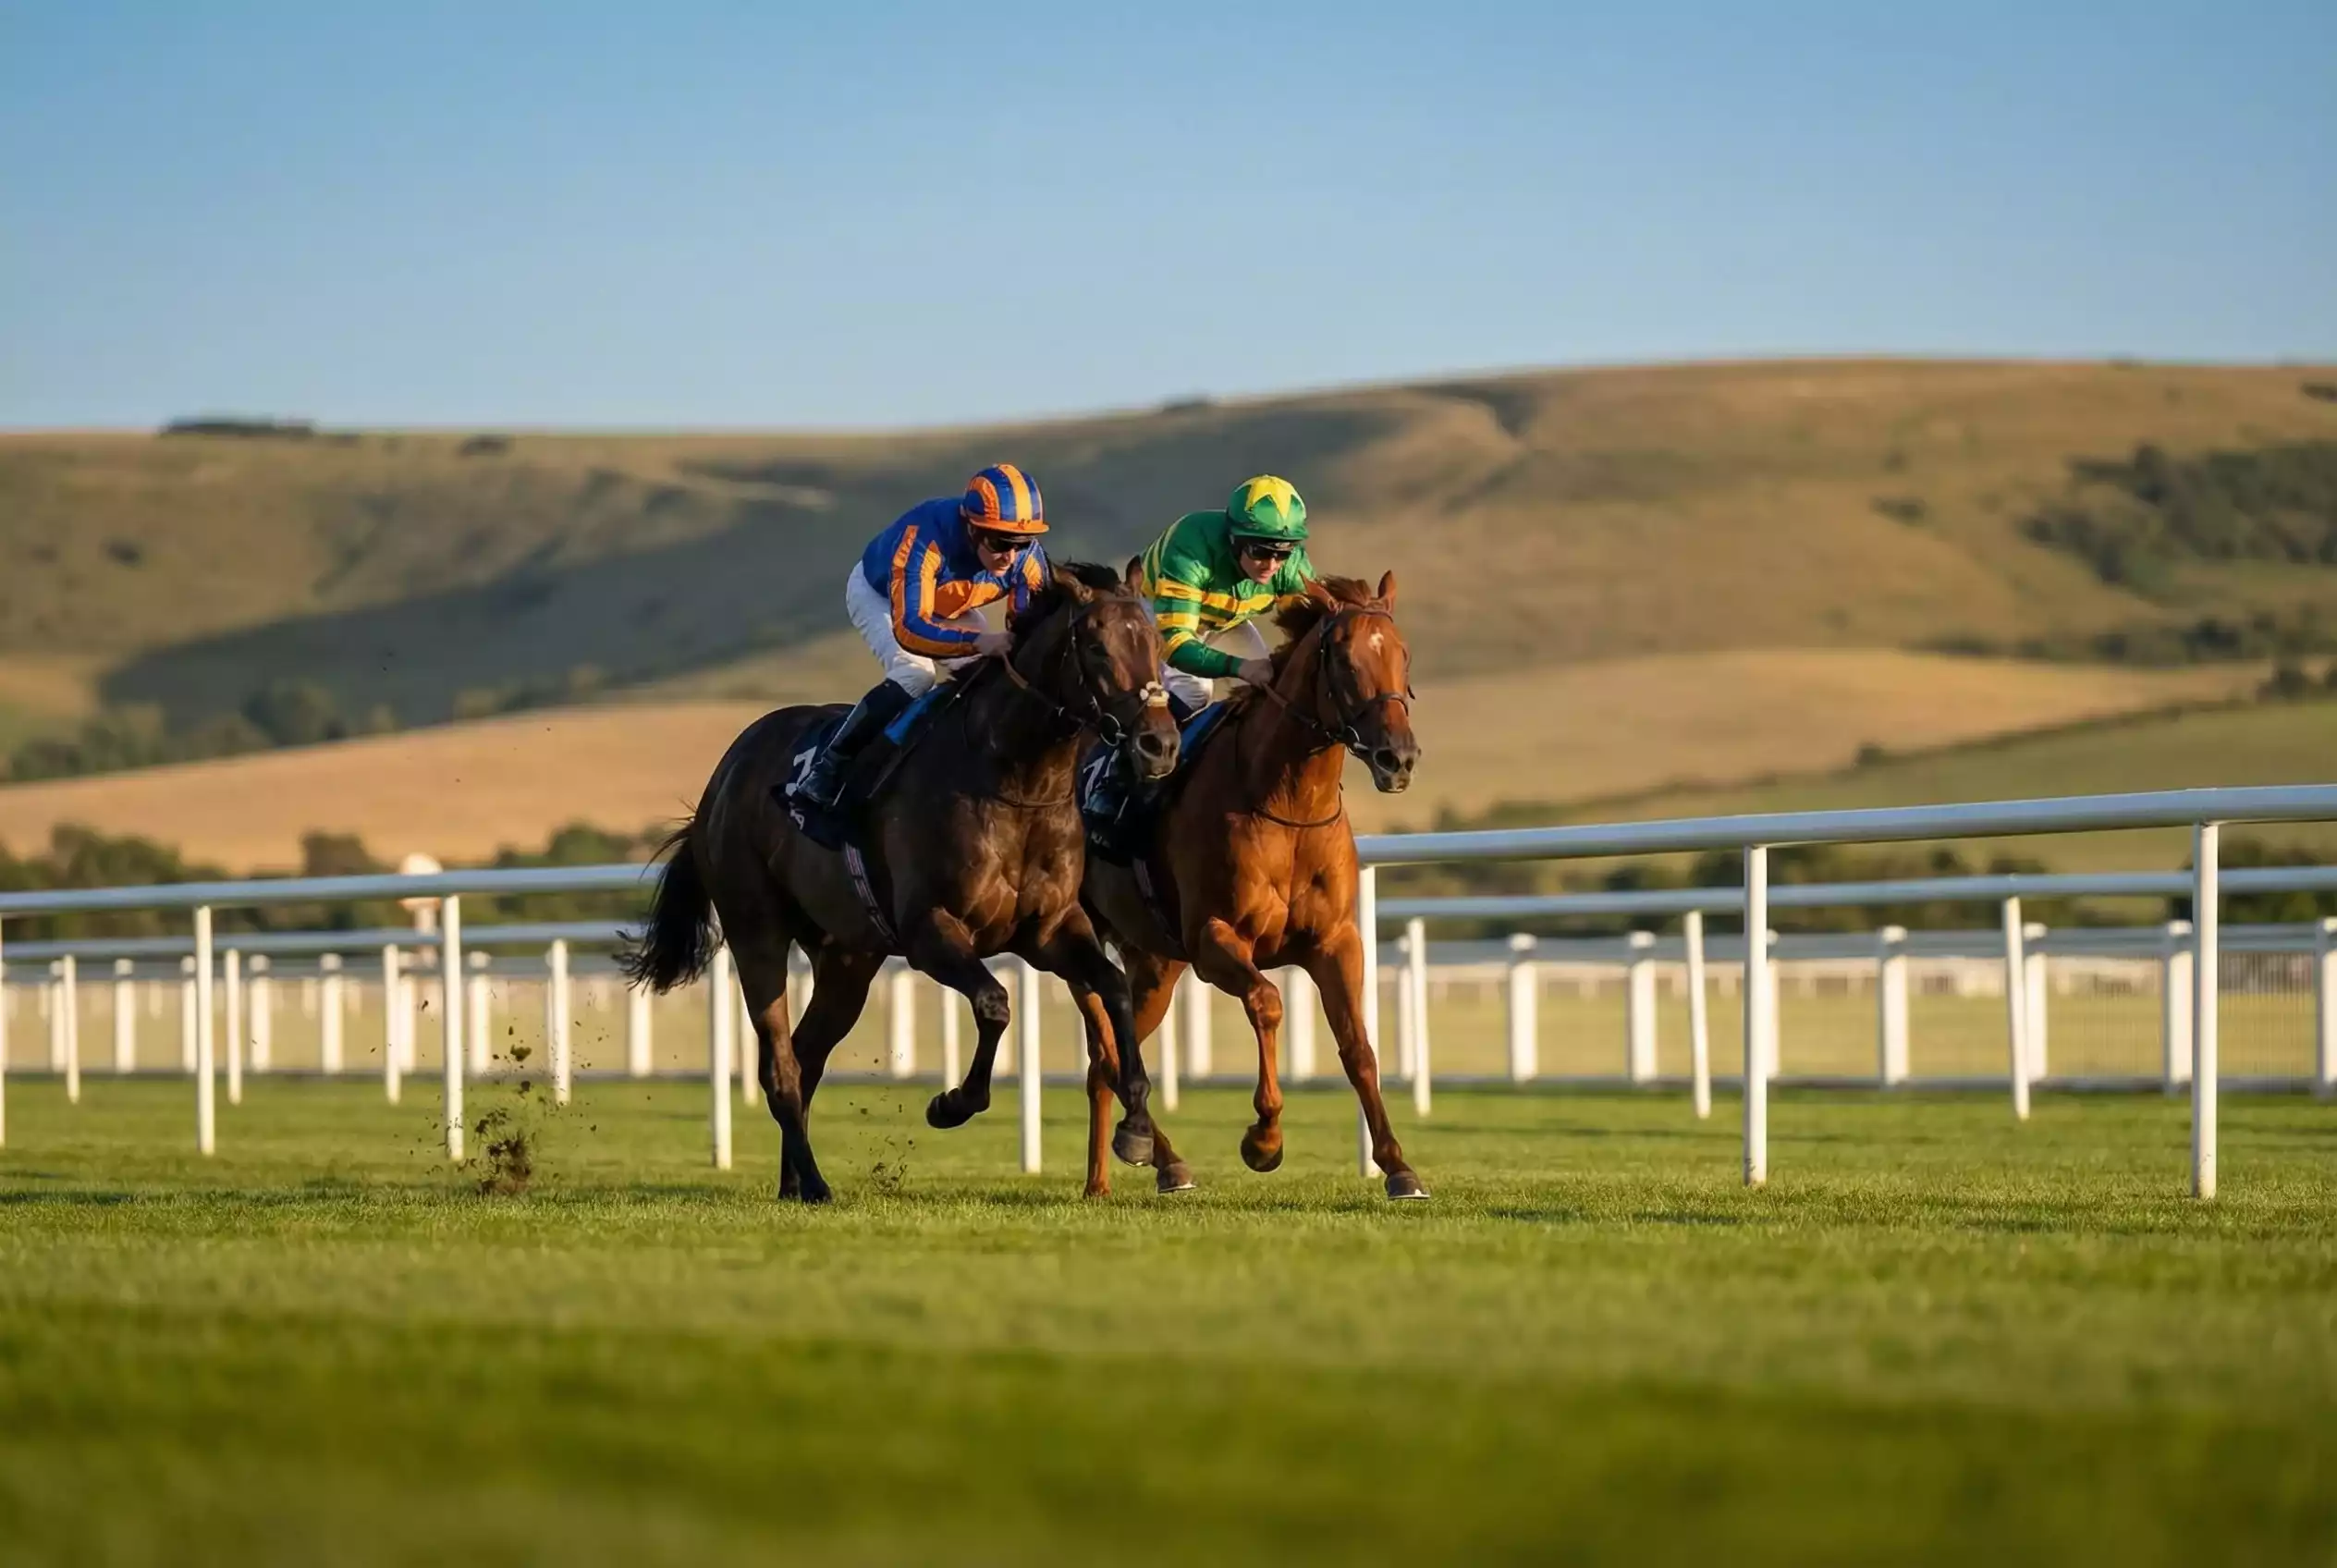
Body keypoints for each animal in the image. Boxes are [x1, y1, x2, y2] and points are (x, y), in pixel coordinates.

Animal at [623, 561, 1181, 1203]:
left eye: (1155, 642)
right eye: (1095, 645)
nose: (1160, 744)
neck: (1016, 782)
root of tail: (724, 774)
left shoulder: (1050, 930)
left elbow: (1114, 990)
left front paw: (1137, 1129)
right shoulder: (929, 931)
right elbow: (995, 1003)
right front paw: (952, 1103)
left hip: (848, 956)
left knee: (808, 1055)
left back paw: (794, 1181)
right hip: (755, 931)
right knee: (781, 1065)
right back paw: (814, 1181)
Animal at [1076, 573, 1428, 1199]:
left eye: (1403, 653)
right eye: (1344, 659)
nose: (1399, 757)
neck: (1288, 804)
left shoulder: (1336, 942)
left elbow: (1358, 1046)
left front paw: (1397, 1165)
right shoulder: (1216, 940)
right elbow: (1267, 1002)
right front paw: (1264, 1139)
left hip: (1154, 963)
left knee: (1109, 1057)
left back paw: (1137, 1167)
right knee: (1107, 1054)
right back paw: (1123, 1166)